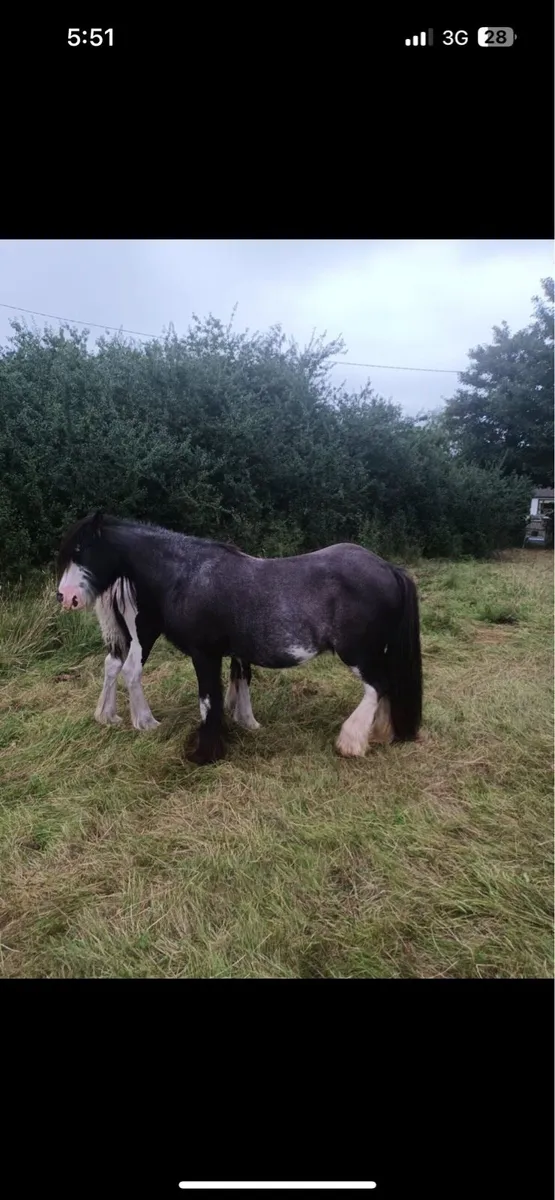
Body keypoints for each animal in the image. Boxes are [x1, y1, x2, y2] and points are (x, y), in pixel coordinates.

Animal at [56, 511, 423, 766]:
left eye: (81, 549)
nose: (66, 597)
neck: (185, 574)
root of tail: (389, 568)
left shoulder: (204, 654)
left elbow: (209, 700)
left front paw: (204, 754)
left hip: (359, 652)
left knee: (378, 685)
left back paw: (351, 741)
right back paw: (381, 734)